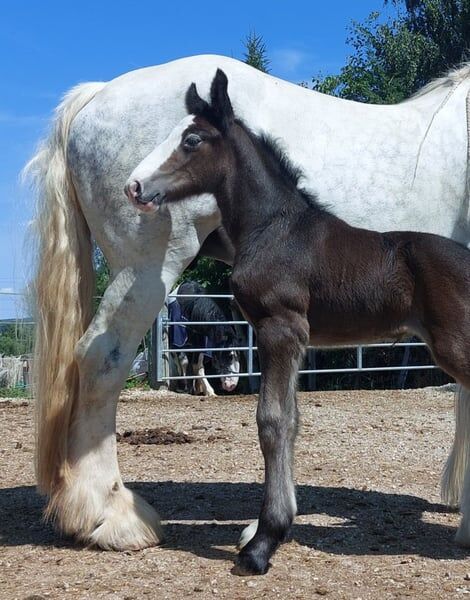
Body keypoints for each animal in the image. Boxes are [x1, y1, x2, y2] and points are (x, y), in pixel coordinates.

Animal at [27, 54, 470, 552]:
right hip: (144, 268)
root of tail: (94, 94)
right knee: (101, 359)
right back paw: (110, 515)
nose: (135, 186)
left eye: (192, 140)